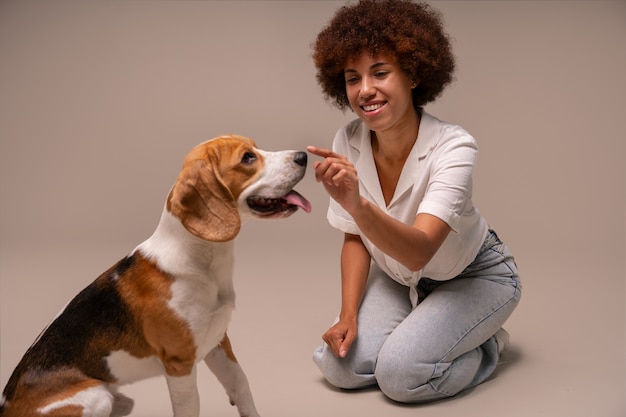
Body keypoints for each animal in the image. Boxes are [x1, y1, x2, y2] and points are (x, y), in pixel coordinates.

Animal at [0, 135, 312, 414]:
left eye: (257, 148)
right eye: (248, 158)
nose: (303, 156)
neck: (202, 262)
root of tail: (6, 404)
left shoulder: (218, 343)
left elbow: (241, 385)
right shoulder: (179, 363)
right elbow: (190, 408)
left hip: (120, 400)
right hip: (97, 396)